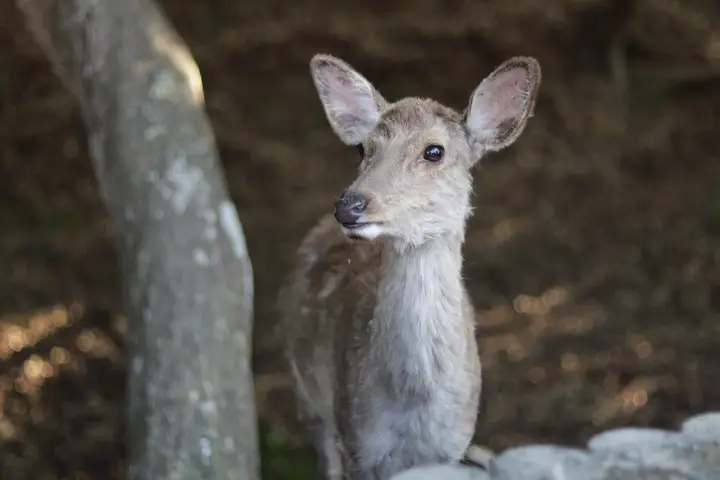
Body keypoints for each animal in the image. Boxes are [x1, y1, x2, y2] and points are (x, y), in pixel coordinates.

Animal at [278, 53, 542, 480]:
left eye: (434, 151)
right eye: (363, 148)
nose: (349, 205)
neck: (413, 406)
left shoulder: (451, 447)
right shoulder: (359, 441)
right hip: (306, 395)